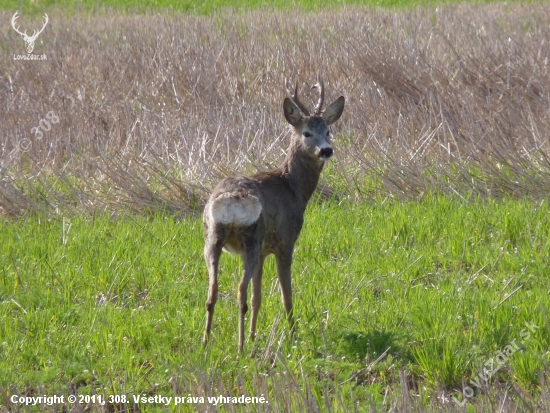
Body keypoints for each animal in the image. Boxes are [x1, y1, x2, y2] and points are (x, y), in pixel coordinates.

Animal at [203, 75, 344, 350]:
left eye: (328, 131)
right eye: (306, 132)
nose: (326, 150)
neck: (293, 188)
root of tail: (232, 201)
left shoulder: (264, 252)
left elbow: (258, 297)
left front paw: (256, 335)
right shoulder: (286, 241)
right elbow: (285, 294)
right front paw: (293, 334)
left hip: (214, 237)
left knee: (212, 291)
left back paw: (205, 343)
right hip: (251, 239)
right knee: (240, 290)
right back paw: (240, 347)